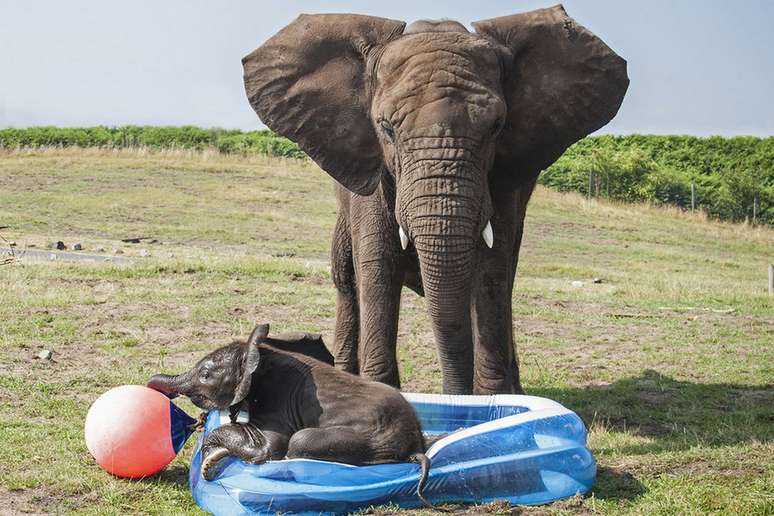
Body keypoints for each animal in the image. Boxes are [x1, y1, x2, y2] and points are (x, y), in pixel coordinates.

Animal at [149, 322, 434, 504]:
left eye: (205, 375)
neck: (258, 353)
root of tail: (416, 443)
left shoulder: (278, 399)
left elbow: (270, 447)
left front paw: (210, 462)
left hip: (374, 438)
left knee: (300, 440)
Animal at [242, 6, 632, 394]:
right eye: (386, 128)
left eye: (496, 127)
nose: (455, 398)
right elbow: (377, 265)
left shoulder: (504, 177)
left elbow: (491, 269)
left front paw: (490, 400)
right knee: (346, 278)